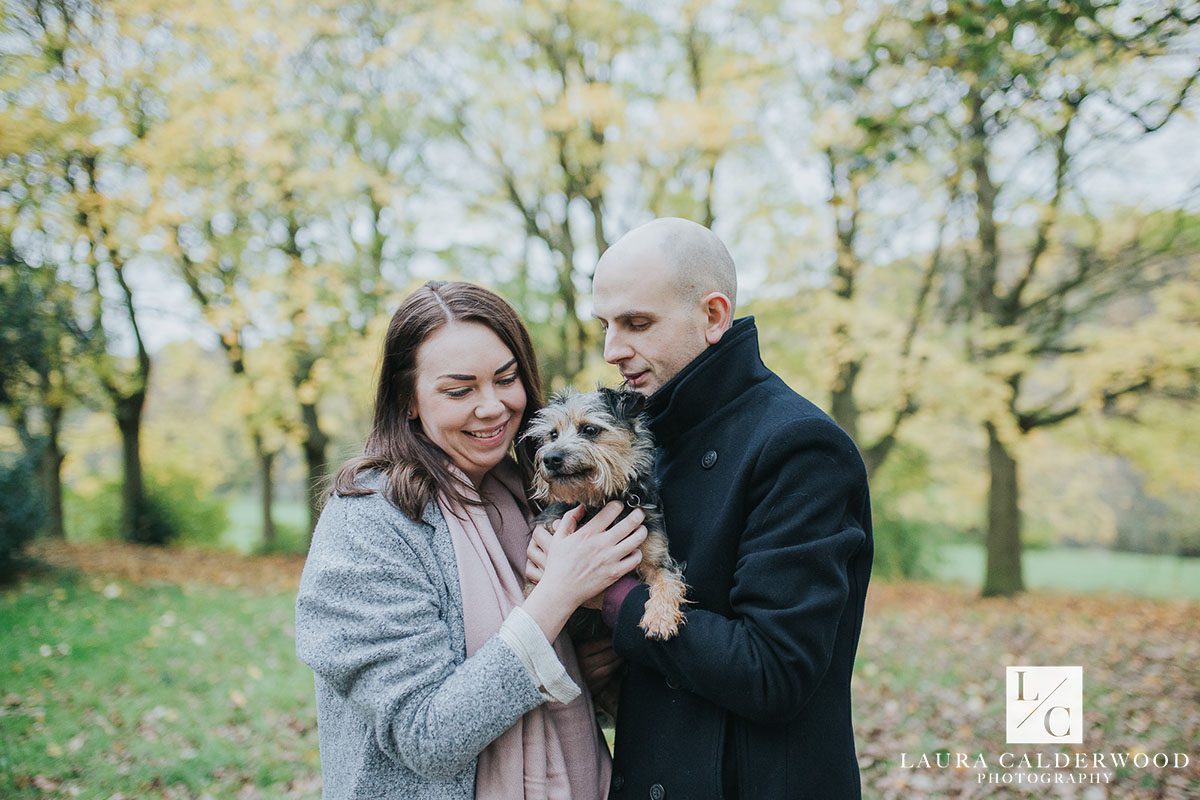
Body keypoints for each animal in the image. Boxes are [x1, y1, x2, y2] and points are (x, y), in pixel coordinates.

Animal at [523, 383, 691, 642]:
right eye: (553, 434)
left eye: (590, 429)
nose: (550, 458)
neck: (600, 501)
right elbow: (534, 590)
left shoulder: (657, 554)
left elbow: (667, 579)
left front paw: (660, 617)